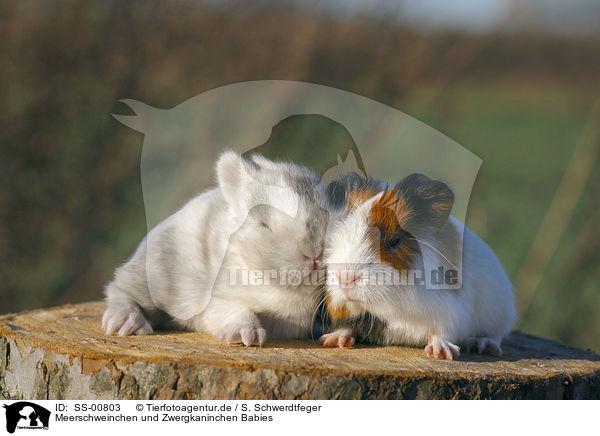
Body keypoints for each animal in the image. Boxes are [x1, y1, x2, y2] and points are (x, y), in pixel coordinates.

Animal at [103, 152, 328, 346]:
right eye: (264, 224)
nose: (314, 255)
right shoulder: (214, 300)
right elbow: (235, 310)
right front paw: (245, 335)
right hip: (152, 276)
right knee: (120, 290)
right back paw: (127, 323)